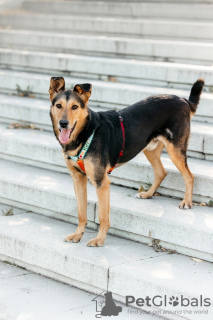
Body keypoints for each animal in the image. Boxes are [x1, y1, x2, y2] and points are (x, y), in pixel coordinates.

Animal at [48, 77, 205, 248]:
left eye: (75, 107)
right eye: (58, 105)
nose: (63, 123)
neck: (86, 133)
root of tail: (183, 100)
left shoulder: (101, 182)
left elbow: (103, 216)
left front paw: (99, 240)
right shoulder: (78, 179)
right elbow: (81, 212)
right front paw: (77, 235)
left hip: (175, 150)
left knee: (189, 176)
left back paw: (187, 202)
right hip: (149, 149)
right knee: (161, 172)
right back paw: (147, 194)